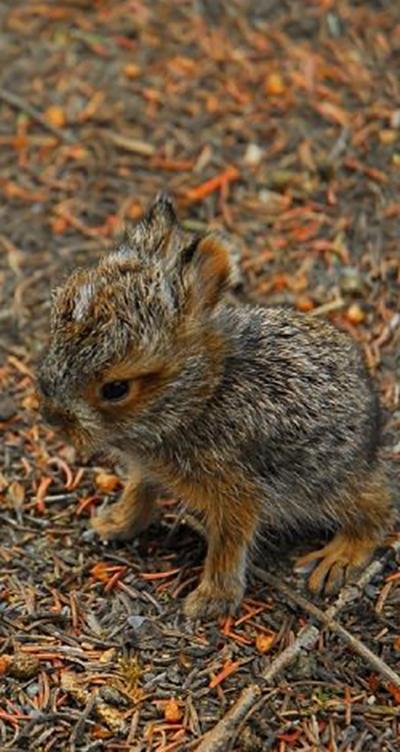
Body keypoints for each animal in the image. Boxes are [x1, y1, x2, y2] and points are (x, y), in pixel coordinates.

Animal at [37, 194, 393, 618]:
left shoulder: (236, 492)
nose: (52, 417)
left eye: (116, 389)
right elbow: (139, 493)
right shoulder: (147, 467)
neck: (198, 398)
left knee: (378, 507)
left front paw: (210, 600)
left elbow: (228, 543)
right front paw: (112, 523)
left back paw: (336, 558)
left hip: (328, 481)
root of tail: (371, 419)